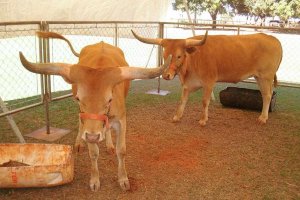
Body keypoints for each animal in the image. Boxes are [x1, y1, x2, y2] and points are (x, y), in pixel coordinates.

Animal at [19, 32, 171, 191]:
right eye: (79, 98)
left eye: (109, 99)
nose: (92, 137)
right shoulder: (87, 124)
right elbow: (93, 153)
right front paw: (94, 179)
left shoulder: (122, 120)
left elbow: (121, 150)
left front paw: (123, 178)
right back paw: (79, 142)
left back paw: (109, 144)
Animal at [132, 30, 282, 125]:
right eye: (164, 55)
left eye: (179, 56)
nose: (166, 75)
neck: (193, 60)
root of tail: (272, 38)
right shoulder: (187, 84)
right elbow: (182, 101)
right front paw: (177, 116)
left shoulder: (209, 82)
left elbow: (205, 101)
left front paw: (203, 120)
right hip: (260, 77)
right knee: (266, 94)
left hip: (265, 77)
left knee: (267, 95)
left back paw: (263, 118)